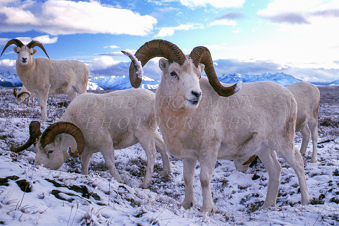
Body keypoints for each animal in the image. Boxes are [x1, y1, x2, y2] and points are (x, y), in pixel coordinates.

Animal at [10, 88, 173, 189]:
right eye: (36, 150)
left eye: (50, 151)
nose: (37, 166)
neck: (79, 120)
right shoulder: (87, 151)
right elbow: (84, 167)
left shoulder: (106, 144)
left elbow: (110, 164)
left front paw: (120, 181)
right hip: (153, 133)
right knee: (163, 148)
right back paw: (165, 173)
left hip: (144, 134)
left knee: (151, 154)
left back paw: (145, 184)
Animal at [125, 39, 310, 215]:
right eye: (173, 73)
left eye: (198, 75)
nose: (196, 94)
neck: (184, 119)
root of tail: (290, 96)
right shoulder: (189, 157)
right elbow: (187, 178)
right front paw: (187, 204)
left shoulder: (209, 152)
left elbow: (204, 179)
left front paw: (207, 210)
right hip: (264, 149)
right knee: (275, 170)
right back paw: (267, 206)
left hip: (283, 142)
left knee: (298, 163)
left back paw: (305, 201)